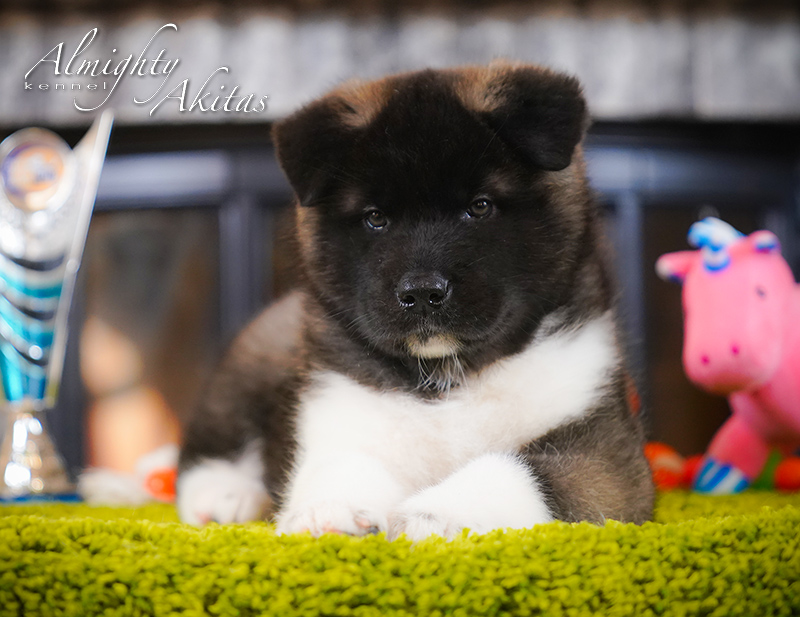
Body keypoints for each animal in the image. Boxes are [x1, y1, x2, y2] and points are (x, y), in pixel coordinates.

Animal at [178, 62, 652, 540]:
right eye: (375, 218)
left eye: (480, 206)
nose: (422, 293)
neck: (448, 378)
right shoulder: (344, 415)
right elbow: (341, 466)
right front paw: (327, 511)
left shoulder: (603, 451)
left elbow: (517, 471)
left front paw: (434, 514)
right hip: (253, 356)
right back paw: (225, 496)